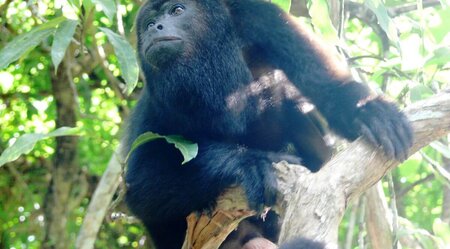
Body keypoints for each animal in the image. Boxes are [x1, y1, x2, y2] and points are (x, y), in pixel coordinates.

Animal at [125, 0, 414, 247]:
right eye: (148, 23)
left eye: (177, 10)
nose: (155, 28)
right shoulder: (154, 108)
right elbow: (139, 187)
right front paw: (248, 163)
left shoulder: (262, 18)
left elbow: (326, 87)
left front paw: (368, 111)